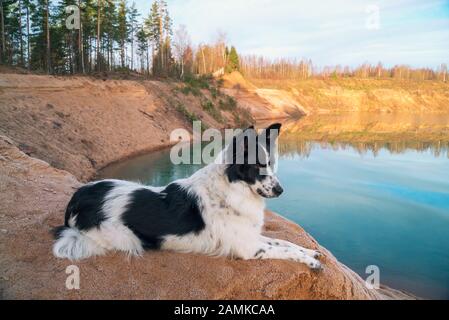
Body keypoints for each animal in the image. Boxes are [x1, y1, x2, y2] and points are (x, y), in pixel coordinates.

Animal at [52, 124, 320, 268]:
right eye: (257, 167)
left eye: (271, 164)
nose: (281, 190)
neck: (233, 188)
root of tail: (76, 198)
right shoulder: (248, 247)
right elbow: (284, 250)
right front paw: (311, 261)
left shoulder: (251, 236)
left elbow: (284, 243)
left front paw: (311, 252)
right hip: (125, 237)